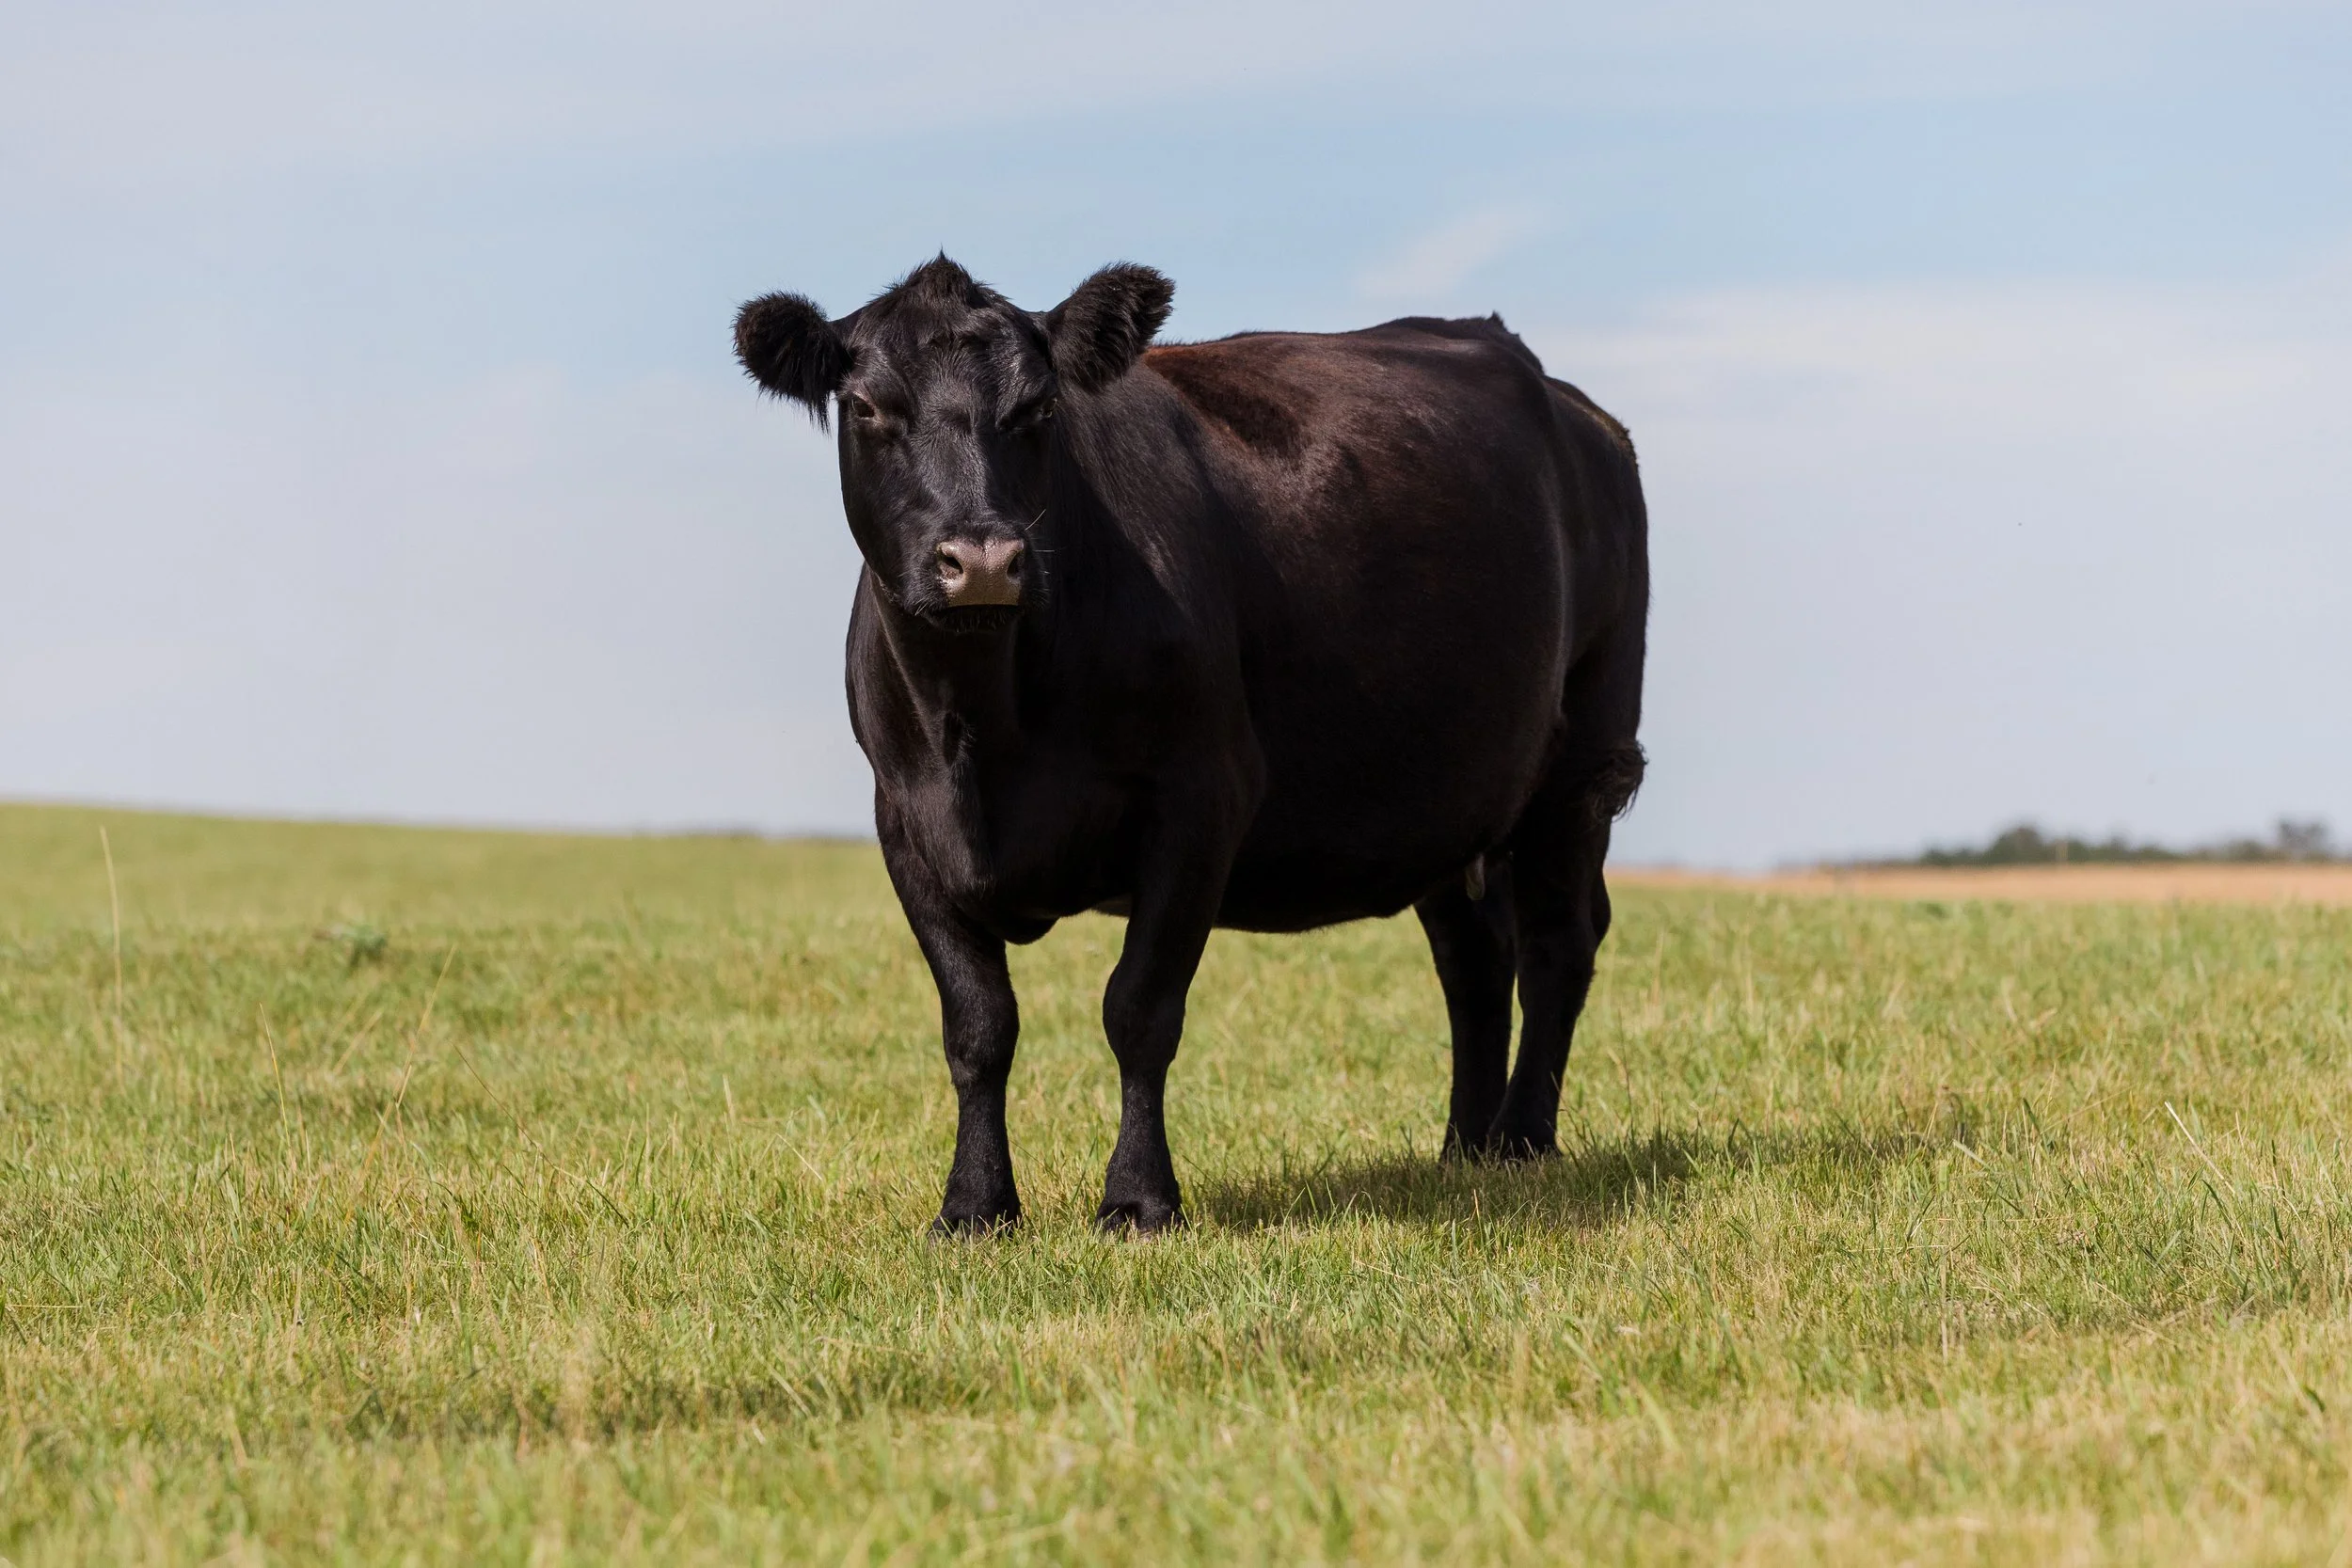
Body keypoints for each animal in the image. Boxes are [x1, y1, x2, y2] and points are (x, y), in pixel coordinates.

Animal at [735, 256, 1647, 1235]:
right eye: (868, 406)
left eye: (1038, 408)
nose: (981, 559)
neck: (985, 730)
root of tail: (1579, 409)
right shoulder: (906, 823)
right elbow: (979, 1025)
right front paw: (974, 1205)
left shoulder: (1201, 799)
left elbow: (1139, 1008)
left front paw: (1139, 1197)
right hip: (1452, 794)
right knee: (1474, 958)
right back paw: (1463, 1149)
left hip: (1584, 759)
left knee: (1557, 942)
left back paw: (1522, 1139)